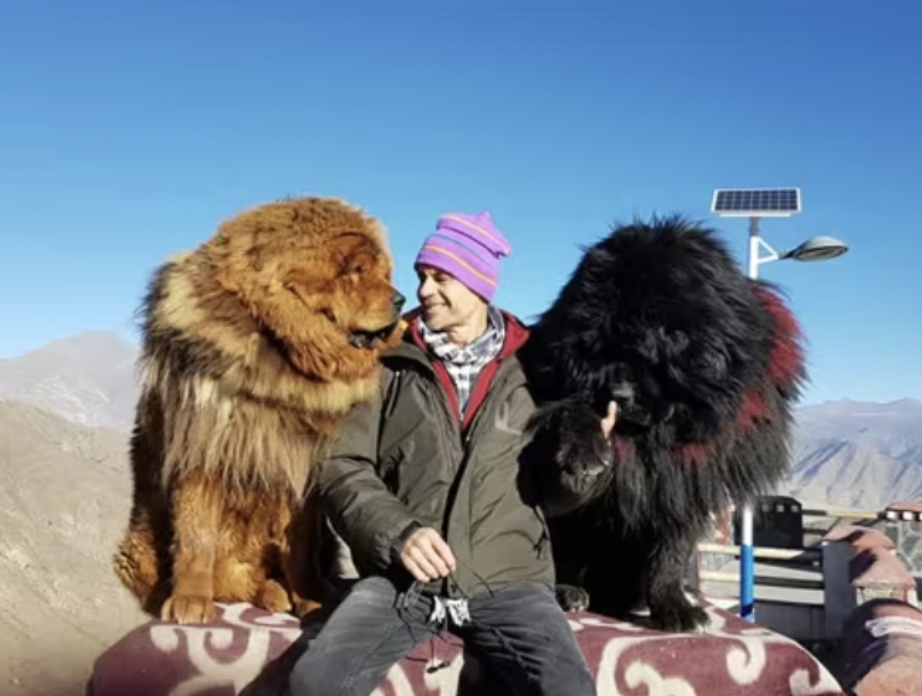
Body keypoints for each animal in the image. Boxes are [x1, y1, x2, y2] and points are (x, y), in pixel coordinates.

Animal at [112, 196, 405, 625]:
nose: (402, 300)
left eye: (381, 271)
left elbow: (298, 549)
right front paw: (190, 600)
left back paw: (276, 592)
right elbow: (197, 534)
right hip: (139, 542)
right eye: (357, 270)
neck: (279, 354)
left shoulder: (303, 472)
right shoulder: (204, 449)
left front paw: (311, 598)